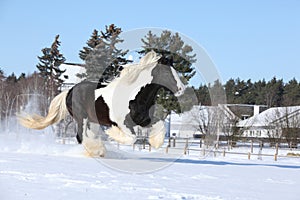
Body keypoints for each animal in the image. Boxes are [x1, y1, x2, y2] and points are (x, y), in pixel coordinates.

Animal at [18, 51, 185, 156]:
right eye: (166, 72)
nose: (181, 89)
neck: (136, 95)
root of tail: (70, 90)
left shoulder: (144, 120)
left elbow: (159, 125)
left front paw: (156, 143)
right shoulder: (123, 123)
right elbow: (131, 137)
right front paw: (111, 134)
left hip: (91, 120)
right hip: (81, 118)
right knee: (80, 137)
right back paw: (95, 151)